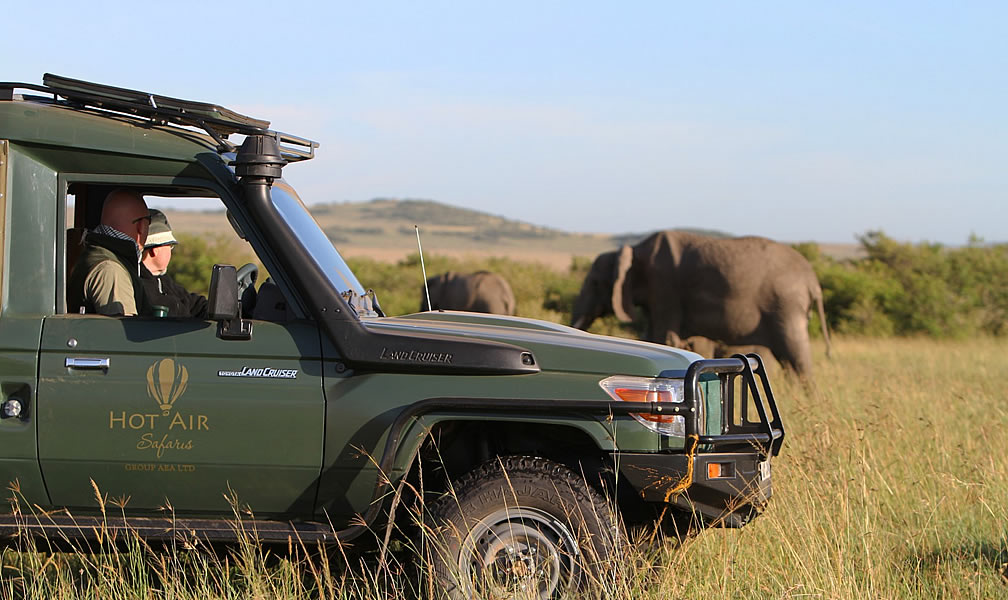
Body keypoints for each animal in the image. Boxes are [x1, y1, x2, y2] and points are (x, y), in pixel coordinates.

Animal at [570, 231, 831, 377]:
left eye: (594, 283)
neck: (636, 251)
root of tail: (813, 280)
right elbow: (653, 335)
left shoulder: (664, 285)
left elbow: (663, 336)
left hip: (785, 304)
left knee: (796, 356)